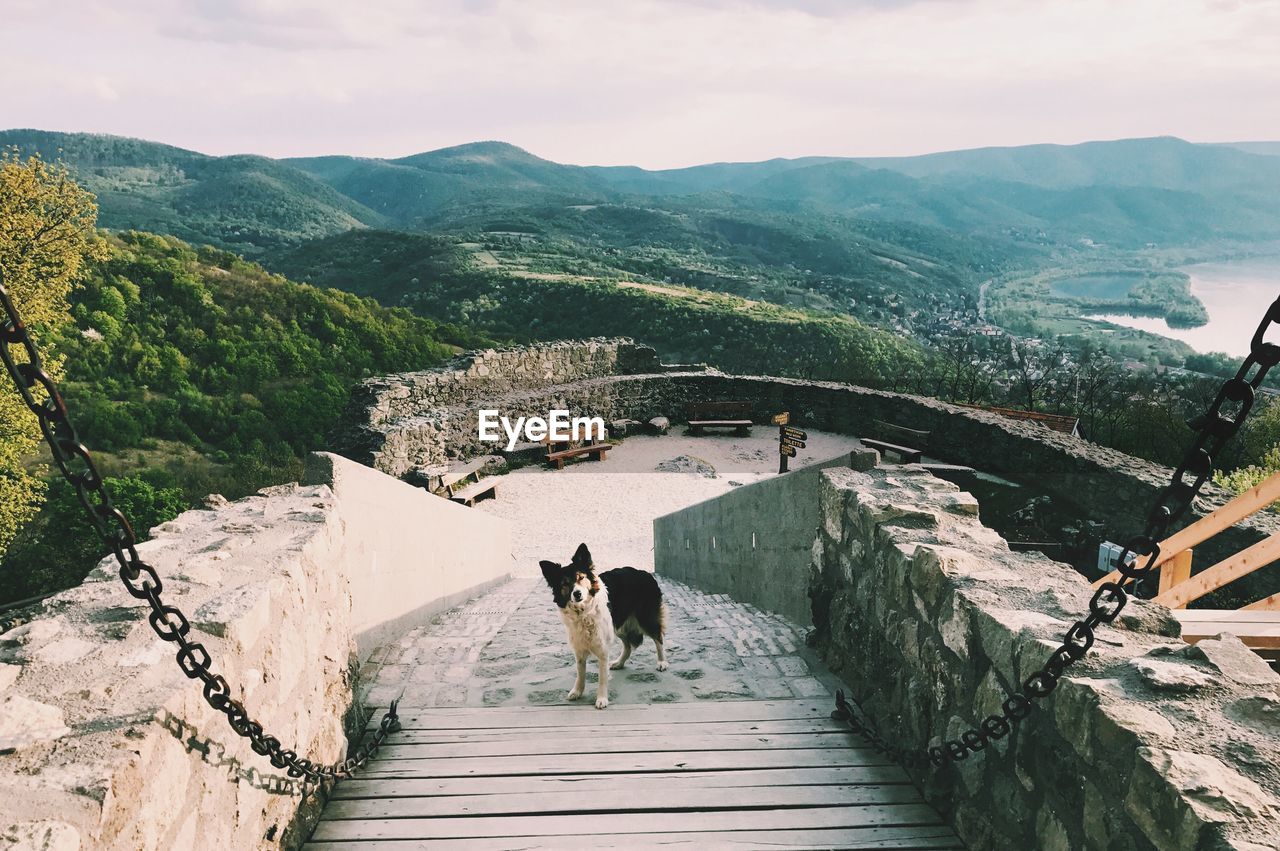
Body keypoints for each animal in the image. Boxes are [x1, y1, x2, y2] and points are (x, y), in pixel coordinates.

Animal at [537, 540, 670, 706]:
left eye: (581, 578)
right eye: (565, 583)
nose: (577, 594)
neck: (583, 612)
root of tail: (644, 572)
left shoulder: (602, 647)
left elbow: (602, 677)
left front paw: (601, 699)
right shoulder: (579, 646)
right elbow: (580, 673)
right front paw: (577, 691)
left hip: (645, 618)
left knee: (658, 638)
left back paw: (662, 662)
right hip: (617, 626)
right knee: (628, 646)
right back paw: (619, 663)